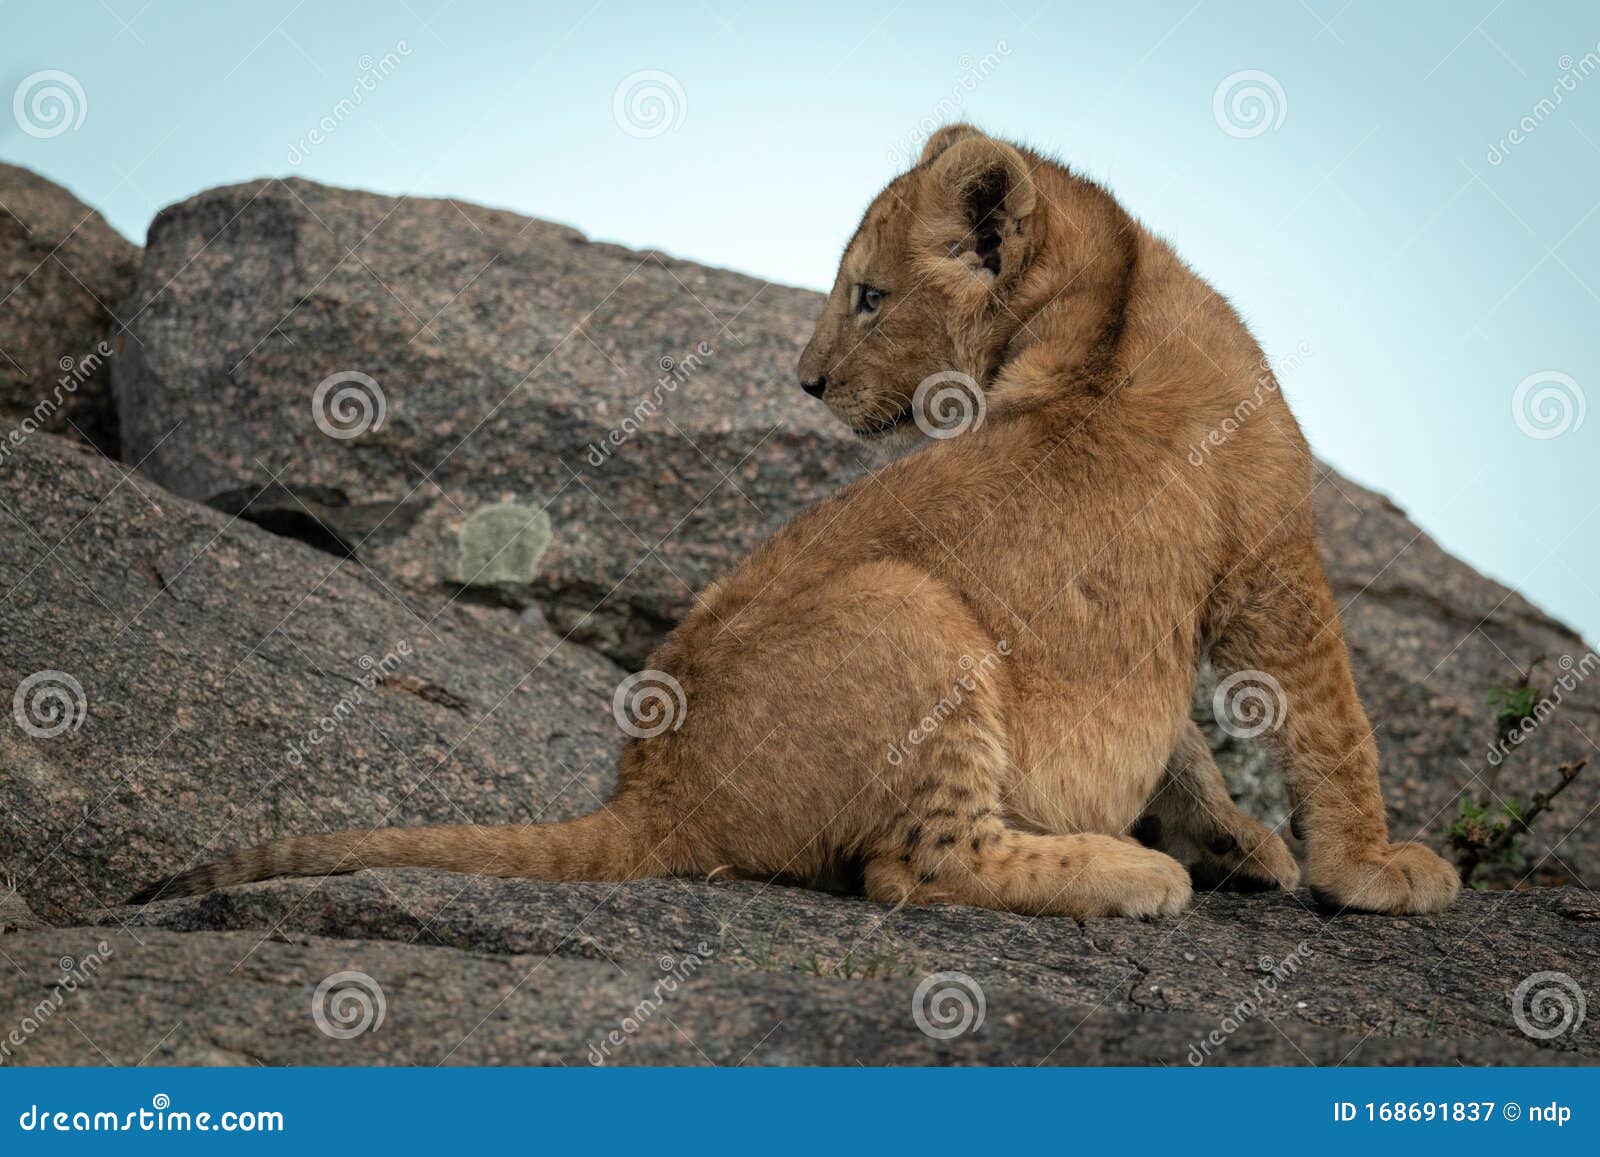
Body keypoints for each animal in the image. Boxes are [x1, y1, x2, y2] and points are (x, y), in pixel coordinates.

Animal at [133, 125, 1458, 918]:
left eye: (868, 296)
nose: (804, 381)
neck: (1106, 306)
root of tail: (654, 796)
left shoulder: (1240, 574)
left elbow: (1196, 737)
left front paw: (1239, 837)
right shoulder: (1274, 562)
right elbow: (1338, 729)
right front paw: (1373, 869)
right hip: (912, 610)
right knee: (909, 864)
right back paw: (1127, 872)